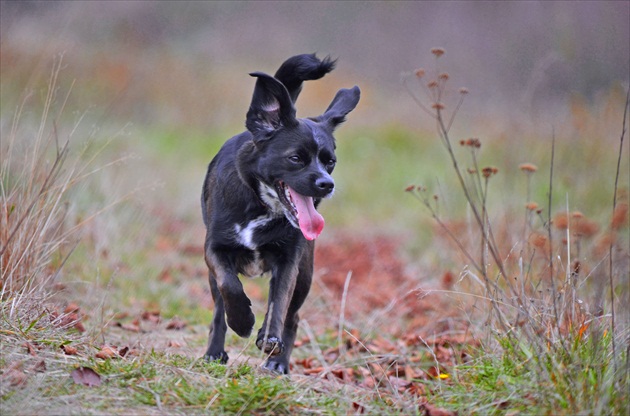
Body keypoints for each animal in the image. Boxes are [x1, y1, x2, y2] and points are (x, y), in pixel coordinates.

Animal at [202, 53, 360, 376]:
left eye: (330, 162)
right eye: (295, 158)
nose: (327, 184)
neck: (261, 205)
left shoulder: (290, 260)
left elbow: (279, 302)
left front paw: (269, 338)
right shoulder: (214, 249)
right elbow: (229, 286)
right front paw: (243, 321)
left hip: (306, 273)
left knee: (292, 314)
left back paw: (278, 361)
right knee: (218, 307)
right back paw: (215, 351)